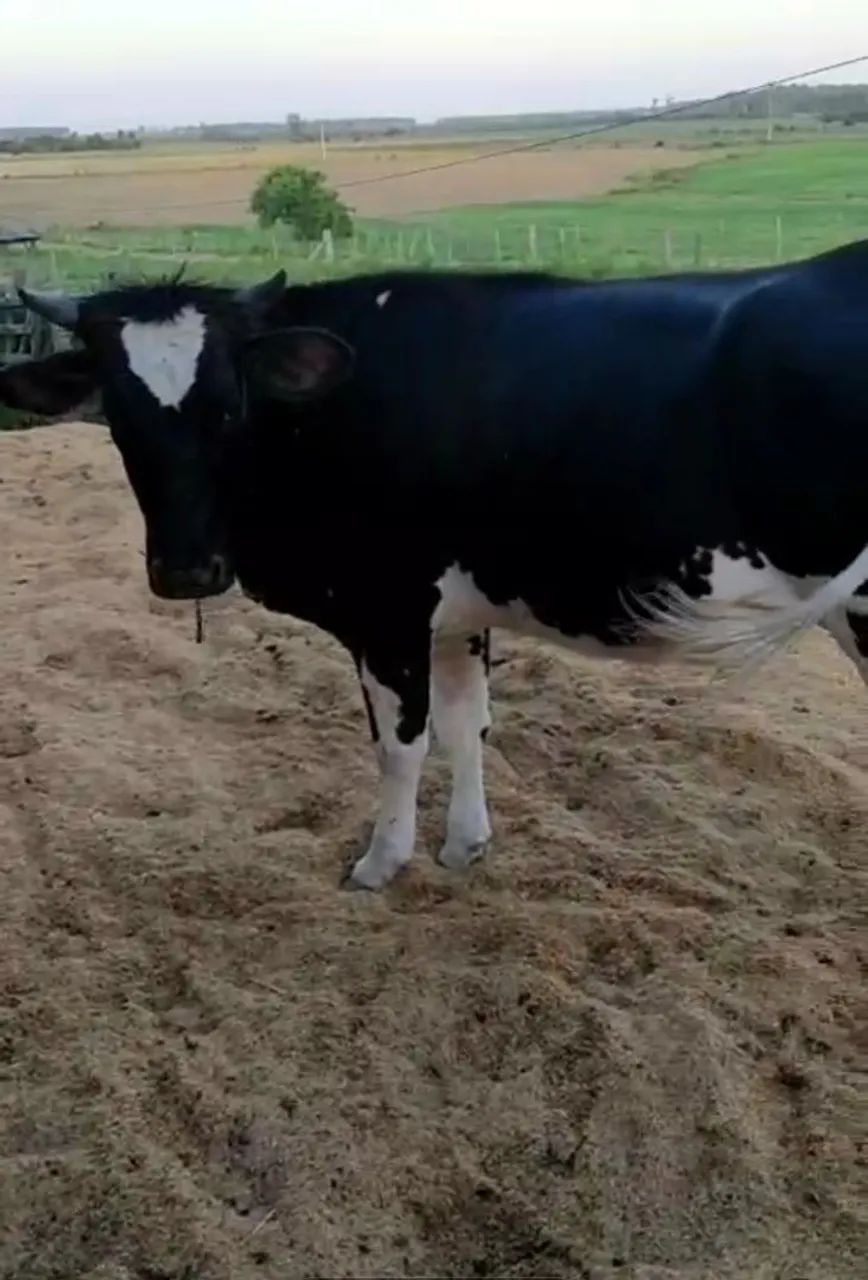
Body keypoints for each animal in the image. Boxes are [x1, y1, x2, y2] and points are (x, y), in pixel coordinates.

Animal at [2, 246, 868, 890]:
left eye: (227, 403)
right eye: (118, 414)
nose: (187, 572)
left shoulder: (384, 607)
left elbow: (402, 743)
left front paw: (382, 860)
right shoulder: (453, 613)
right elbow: (466, 724)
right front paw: (465, 845)